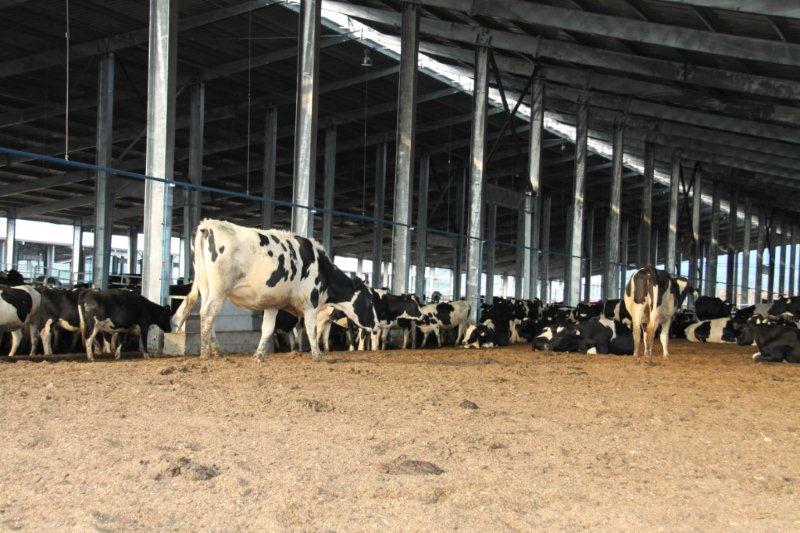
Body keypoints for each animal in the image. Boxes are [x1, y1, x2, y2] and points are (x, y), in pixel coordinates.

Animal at [174, 220, 379, 362]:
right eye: (370, 301)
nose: (377, 325)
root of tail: (208, 224)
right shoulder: (311, 303)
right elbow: (311, 329)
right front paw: (318, 356)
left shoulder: (272, 302)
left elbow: (267, 329)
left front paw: (258, 355)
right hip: (219, 288)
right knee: (208, 314)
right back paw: (206, 354)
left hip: (206, 287)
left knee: (208, 316)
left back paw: (217, 351)